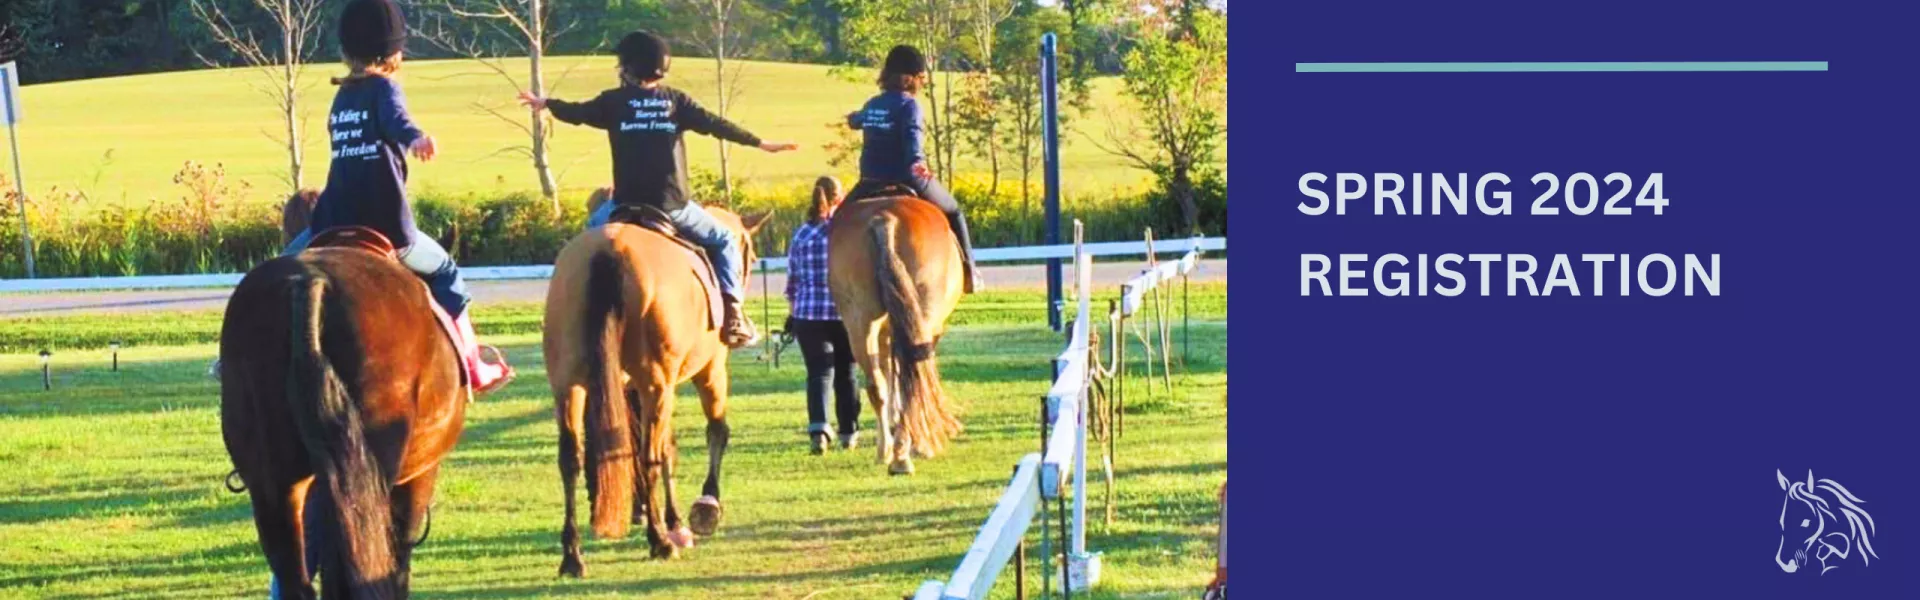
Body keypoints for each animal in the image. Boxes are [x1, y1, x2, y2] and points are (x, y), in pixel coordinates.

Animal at [545, 189, 768, 573]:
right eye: (749, 254)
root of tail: (610, 251)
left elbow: (656, 447)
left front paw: (672, 517)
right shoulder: (709, 372)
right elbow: (714, 432)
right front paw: (704, 506)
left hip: (569, 386)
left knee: (571, 459)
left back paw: (573, 555)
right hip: (657, 385)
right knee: (649, 454)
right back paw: (659, 541)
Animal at [829, 189, 967, 475]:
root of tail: (885, 219)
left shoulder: (886, 331)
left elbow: (889, 371)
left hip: (859, 321)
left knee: (876, 385)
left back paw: (887, 451)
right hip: (922, 315)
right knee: (912, 378)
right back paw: (904, 454)